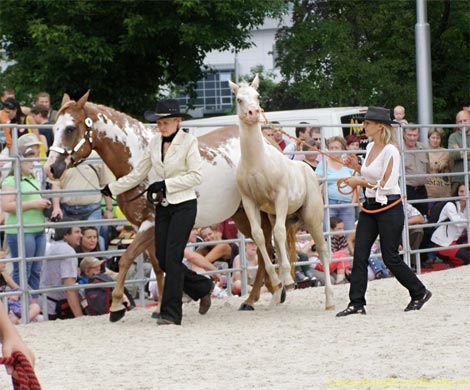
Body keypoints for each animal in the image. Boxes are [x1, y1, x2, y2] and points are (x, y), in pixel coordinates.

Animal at [44, 90, 294, 320]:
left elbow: (126, 259)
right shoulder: (146, 227)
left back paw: (265, 293)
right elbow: (158, 265)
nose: (51, 168)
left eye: (70, 129)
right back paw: (262, 295)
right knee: (264, 248)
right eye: (55, 129)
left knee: (266, 247)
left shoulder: (150, 223)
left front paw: (115, 307)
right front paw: (161, 307)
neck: (137, 156)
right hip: (243, 214)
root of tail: (270, 143)